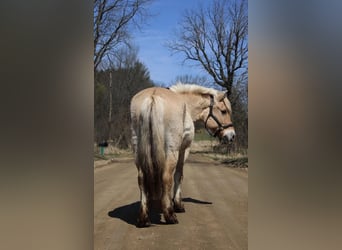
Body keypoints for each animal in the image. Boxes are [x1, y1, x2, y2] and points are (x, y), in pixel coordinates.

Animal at [130, 82, 234, 227]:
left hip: (137, 150)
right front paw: (178, 205)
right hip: (171, 150)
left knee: (141, 178)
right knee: (166, 177)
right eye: (224, 111)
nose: (231, 136)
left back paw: (143, 219)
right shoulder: (184, 149)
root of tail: (152, 97)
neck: (187, 105)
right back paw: (170, 215)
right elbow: (179, 175)